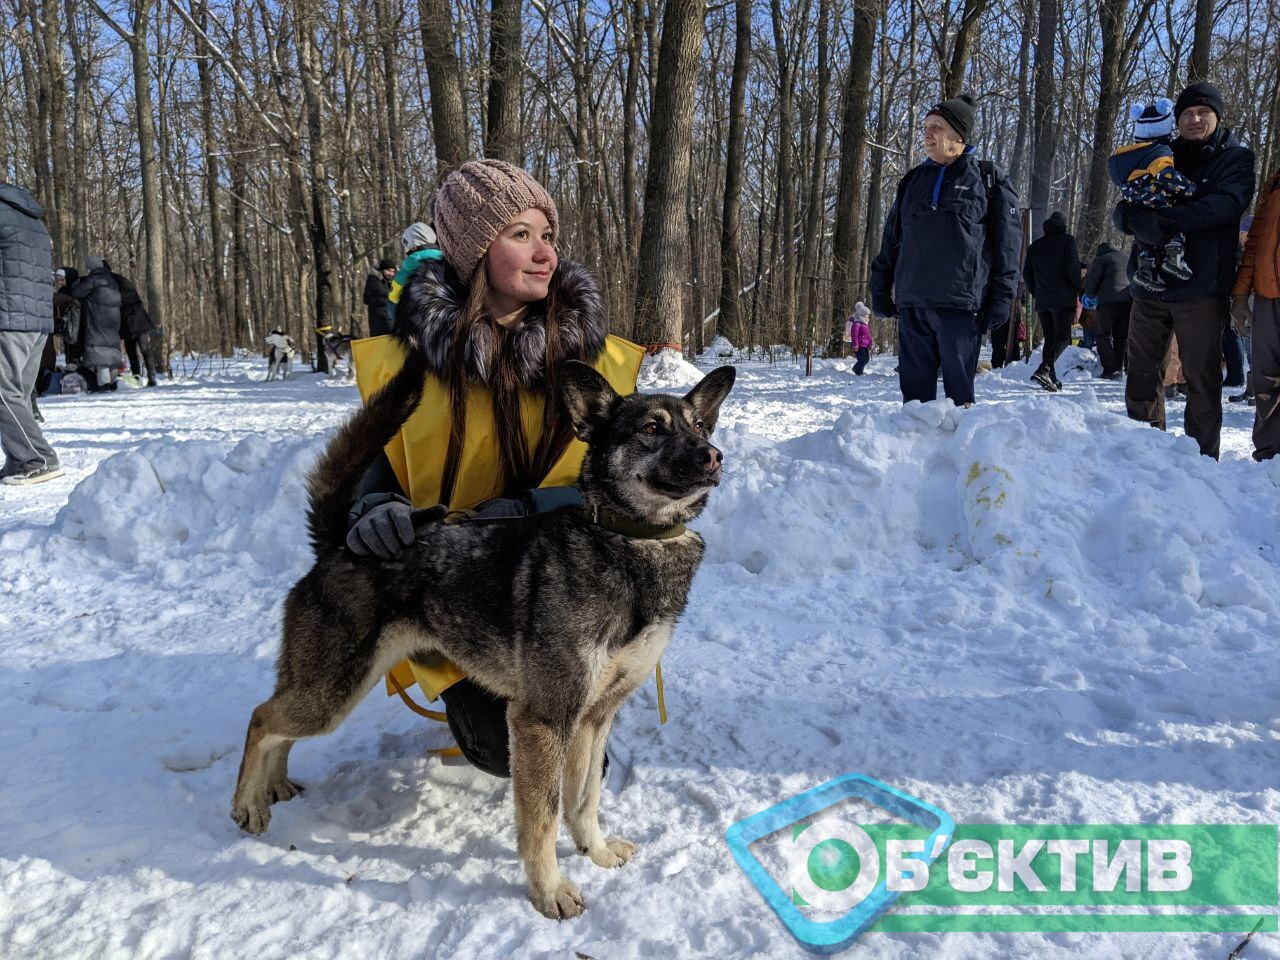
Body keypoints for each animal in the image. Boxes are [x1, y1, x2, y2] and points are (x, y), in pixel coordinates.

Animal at [225, 350, 737, 921]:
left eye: (699, 427)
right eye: (651, 428)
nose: (714, 456)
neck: (630, 543)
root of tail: (339, 542)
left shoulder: (594, 716)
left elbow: (584, 801)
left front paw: (596, 852)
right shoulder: (543, 719)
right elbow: (542, 819)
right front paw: (549, 891)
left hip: (327, 688)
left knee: (277, 722)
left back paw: (274, 785)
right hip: (332, 694)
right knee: (261, 717)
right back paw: (247, 803)